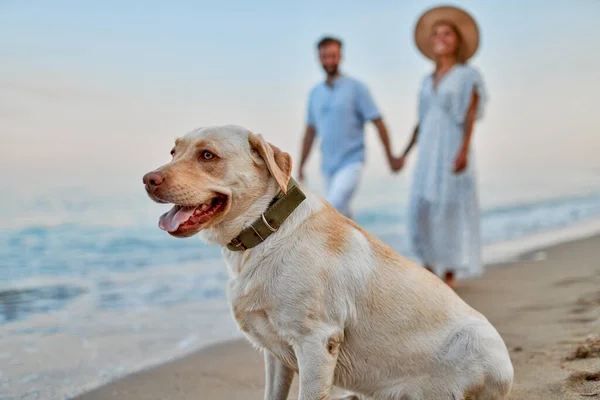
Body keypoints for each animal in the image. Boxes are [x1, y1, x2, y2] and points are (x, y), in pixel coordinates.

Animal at [143, 126, 512, 400]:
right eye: (173, 152)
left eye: (208, 155)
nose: (148, 179)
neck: (263, 232)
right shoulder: (275, 353)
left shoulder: (317, 342)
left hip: (480, 344)